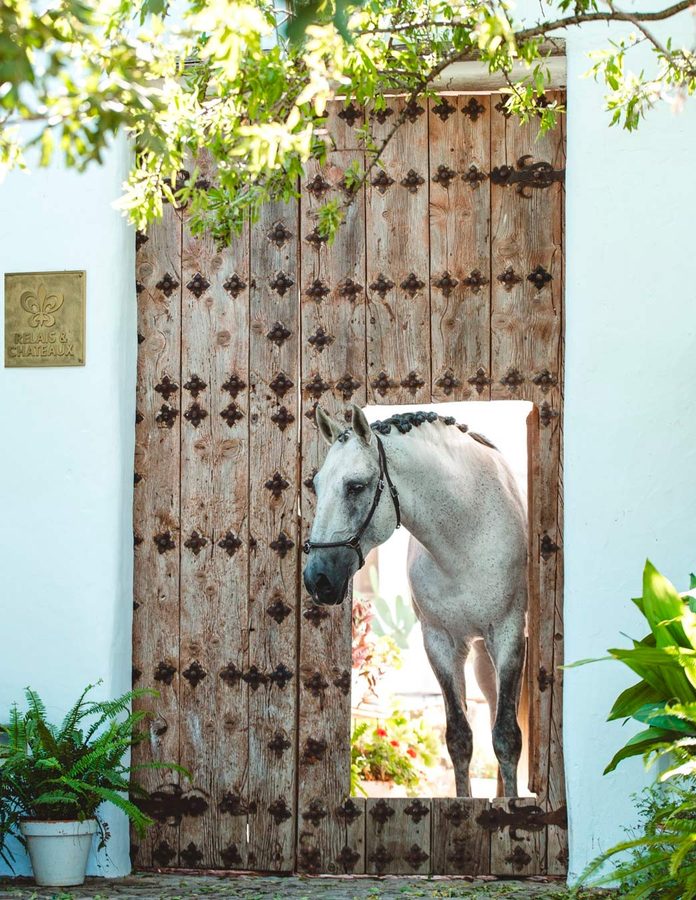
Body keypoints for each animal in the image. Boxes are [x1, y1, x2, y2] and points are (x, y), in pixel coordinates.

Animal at [303, 404, 528, 797]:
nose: (318, 579)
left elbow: (507, 737)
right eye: (316, 484)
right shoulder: (439, 643)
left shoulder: (510, 635)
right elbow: (459, 738)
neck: (467, 535)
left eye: (355, 486)